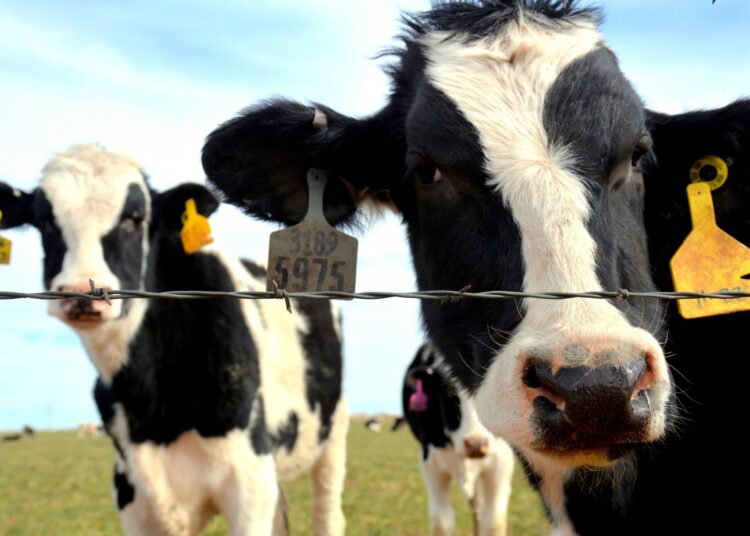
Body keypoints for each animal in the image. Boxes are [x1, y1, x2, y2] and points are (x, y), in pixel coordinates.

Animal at [0, 144, 348, 536]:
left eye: (135, 218)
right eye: (44, 221)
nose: (78, 292)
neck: (152, 403)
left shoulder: (250, 481)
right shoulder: (131, 492)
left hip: (333, 432)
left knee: (328, 512)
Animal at [403, 343, 513, 536]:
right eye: (449, 390)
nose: (476, 444)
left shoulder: (502, 461)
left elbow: (494, 523)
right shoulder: (430, 464)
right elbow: (441, 522)